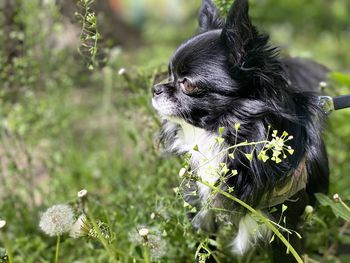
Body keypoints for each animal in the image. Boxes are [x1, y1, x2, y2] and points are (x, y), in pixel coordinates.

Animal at [152, 0, 330, 262]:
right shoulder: (203, 209)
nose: (155, 89)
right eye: (170, 74)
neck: (221, 135)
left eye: (188, 83)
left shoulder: (285, 226)